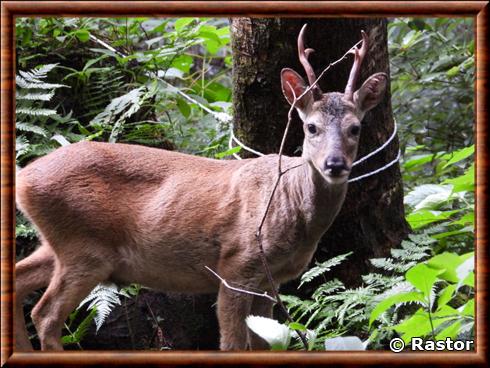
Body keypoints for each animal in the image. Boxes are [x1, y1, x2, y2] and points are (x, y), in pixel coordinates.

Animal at [15, 25, 386, 350]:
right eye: (311, 127)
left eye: (355, 128)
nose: (334, 164)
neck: (290, 201)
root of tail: (24, 179)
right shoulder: (236, 266)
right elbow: (232, 344)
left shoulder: (269, 283)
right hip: (84, 248)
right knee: (45, 314)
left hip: (59, 244)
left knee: (18, 281)